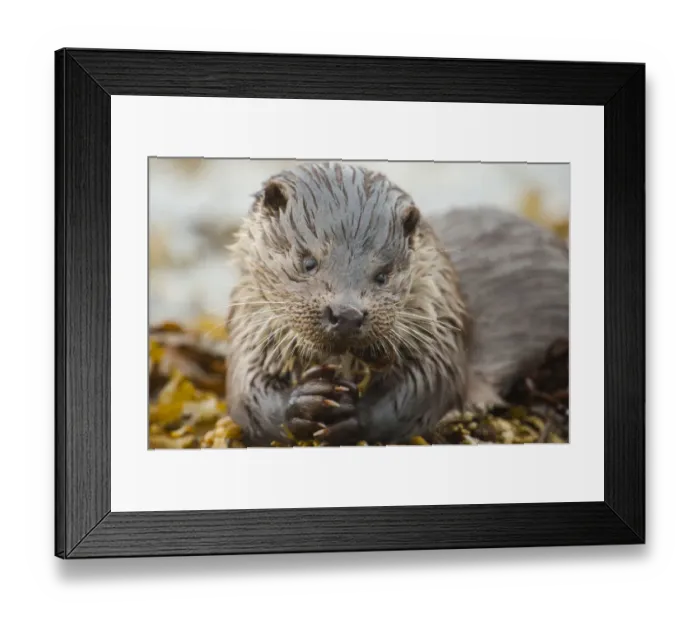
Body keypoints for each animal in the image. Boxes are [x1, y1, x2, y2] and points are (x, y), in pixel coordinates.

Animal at [226, 162, 569, 447]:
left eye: (383, 274)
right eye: (308, 261)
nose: (346, 314)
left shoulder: (439, 324)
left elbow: (429, 385)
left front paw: (356, 414)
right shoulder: (249, 327)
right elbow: (244, 392)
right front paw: (301, 403)